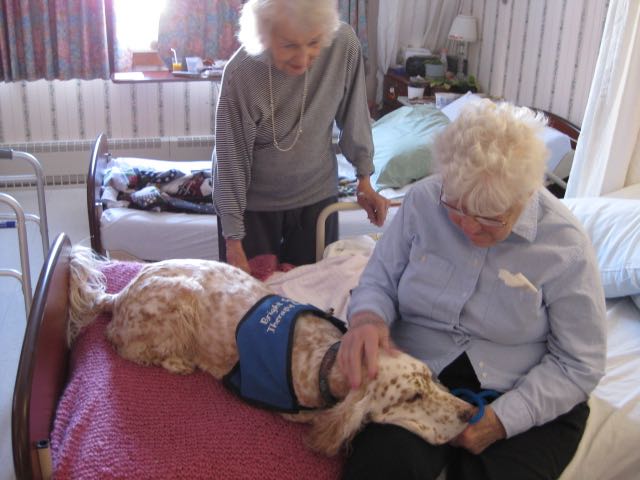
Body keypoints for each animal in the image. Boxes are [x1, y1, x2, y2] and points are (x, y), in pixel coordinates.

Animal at [69, 246, 476, 456]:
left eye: (432, 378)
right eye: (410, 396)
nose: (471, 412)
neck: (324, 359)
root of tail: (120, 294)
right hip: (179, 299)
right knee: (128, 347)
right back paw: (178, 361)